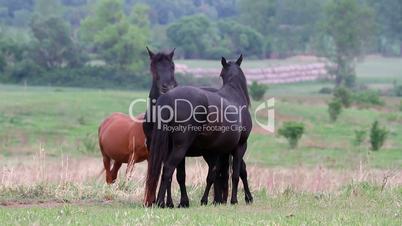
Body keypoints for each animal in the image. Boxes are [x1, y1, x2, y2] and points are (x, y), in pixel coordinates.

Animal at [144, 54, 251, 207]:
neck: (235, 95)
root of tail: (168, 97)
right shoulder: (240, 146)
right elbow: (234, 174)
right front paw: (233, 200)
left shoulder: (219, 151)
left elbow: (217, 174)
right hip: (180, 147)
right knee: (168, 169)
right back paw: (160, 201)